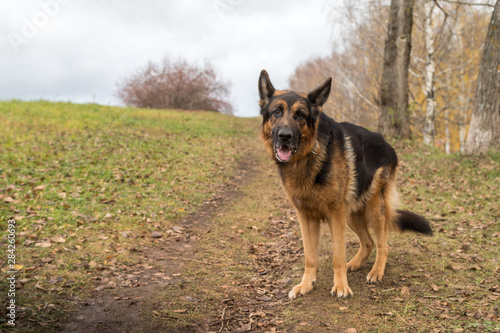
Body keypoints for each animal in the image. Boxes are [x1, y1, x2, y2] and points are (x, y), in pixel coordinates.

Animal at [260, 70, 432, 298]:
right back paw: (356, 264)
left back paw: (376, 271)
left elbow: (337, 256)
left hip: (372, 210)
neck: (309, 157)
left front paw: (341, 286)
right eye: (276, 112)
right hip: (352, 214)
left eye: (300, 115)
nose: (285, 136)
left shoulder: (335, 214)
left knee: (383, 245)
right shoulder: (306, 217)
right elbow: (310, 256)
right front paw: (306, 284)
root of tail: (387, 143)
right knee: (368, 242)